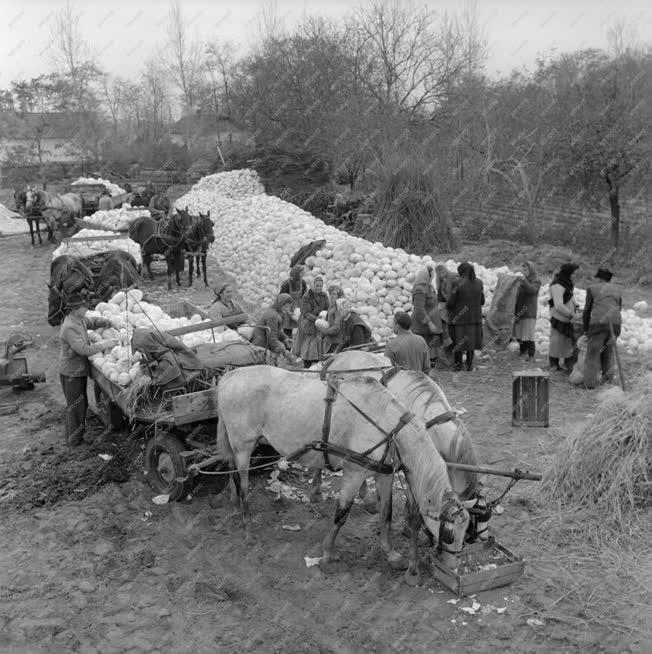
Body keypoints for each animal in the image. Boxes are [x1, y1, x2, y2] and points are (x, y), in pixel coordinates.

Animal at [216, 366, 472, 588]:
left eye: (466, 533)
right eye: (449, 534)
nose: (452, 570)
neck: (386, 425)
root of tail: (229, 377)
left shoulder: (384, 474)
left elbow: (386, 513)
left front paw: (390, 553)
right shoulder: (354, 472)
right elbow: (341, 514)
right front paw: (327, 555)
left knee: (233, 475)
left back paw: (235, 506)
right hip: (243, 446)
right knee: (243, 484)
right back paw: (248, 528)